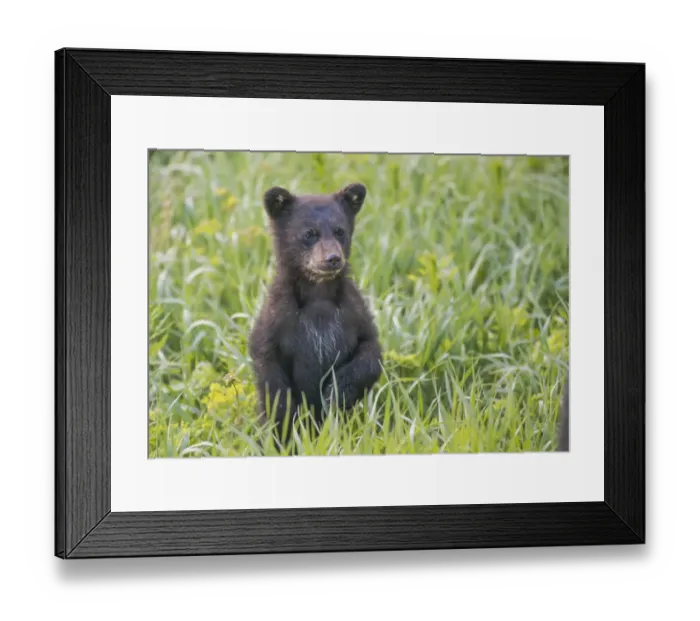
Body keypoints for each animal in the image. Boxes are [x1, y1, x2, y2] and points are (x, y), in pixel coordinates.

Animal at [249, 182, 383, 437]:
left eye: (340, 231)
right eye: (309, 233)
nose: (332, 258)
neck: (318, 294)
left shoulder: (353, 314)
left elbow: (371, 353)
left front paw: (336, 391)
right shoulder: (277, 320)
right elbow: (268, 370)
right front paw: (286, 421)